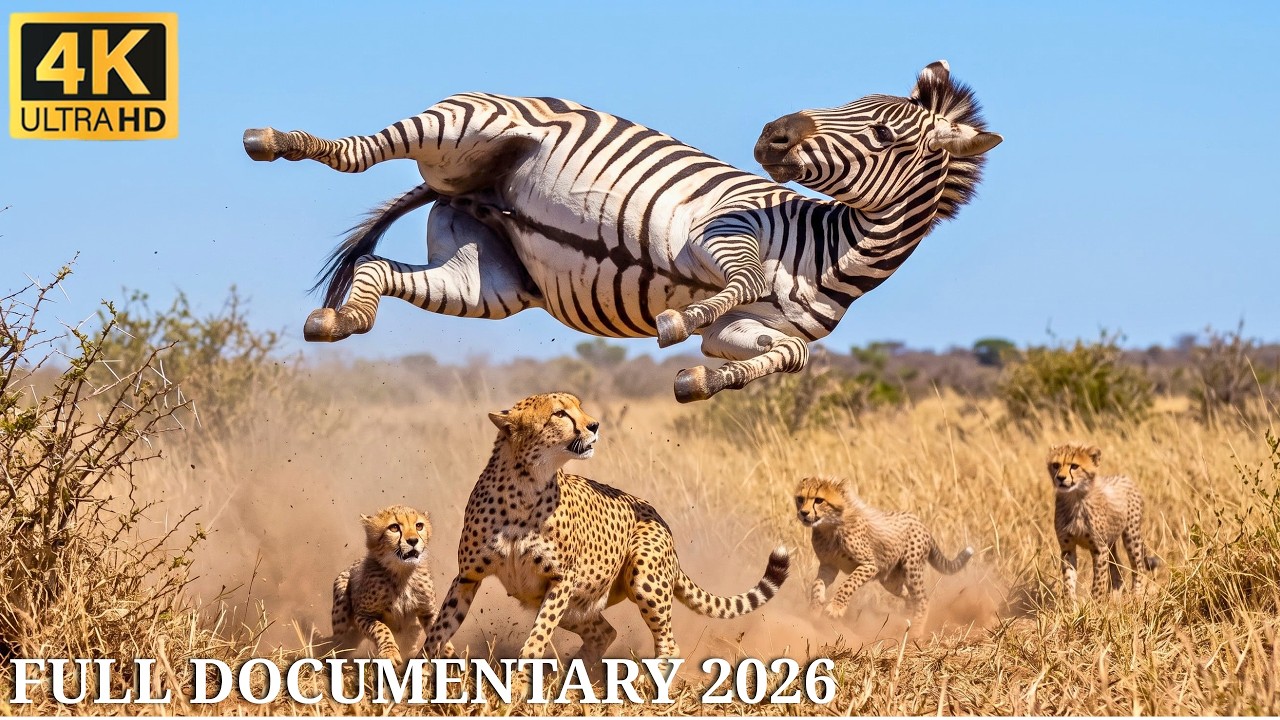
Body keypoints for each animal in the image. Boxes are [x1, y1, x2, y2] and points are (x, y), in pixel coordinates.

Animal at [242, 60, 1000, 402]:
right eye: (854, 101)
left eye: (884, 132)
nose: (771, 134)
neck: (829, 253)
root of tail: (472, 185)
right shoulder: (724, 233)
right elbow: (744, 277)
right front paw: (680, 318)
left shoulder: (750, 331)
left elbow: (788, 357)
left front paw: (702, 381)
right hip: (463, 123)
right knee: (360, 152)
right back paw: (274, 141)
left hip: (488, 279)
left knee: (377, 271)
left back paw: (338, 321)